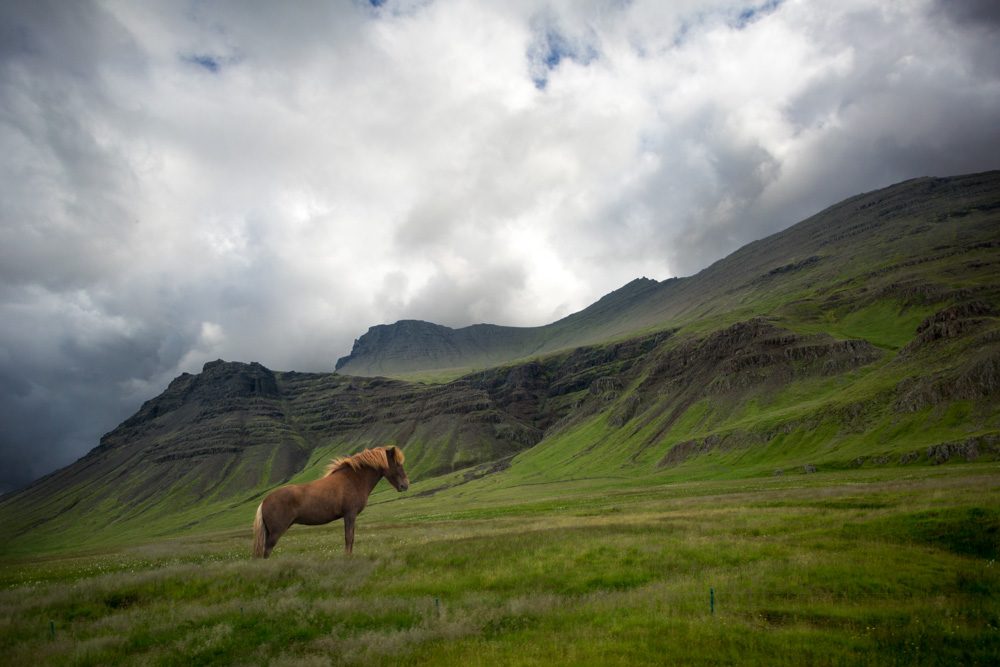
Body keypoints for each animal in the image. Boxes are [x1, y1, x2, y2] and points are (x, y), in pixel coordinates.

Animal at [252, 445, 409, 558]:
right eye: (397, 464)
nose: (405, 485)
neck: (354, 479)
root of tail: (264, 501)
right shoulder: (350, 514)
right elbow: (349, 538)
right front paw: (347, 557)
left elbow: (351, 537)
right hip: (276, 532)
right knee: (267, 551)